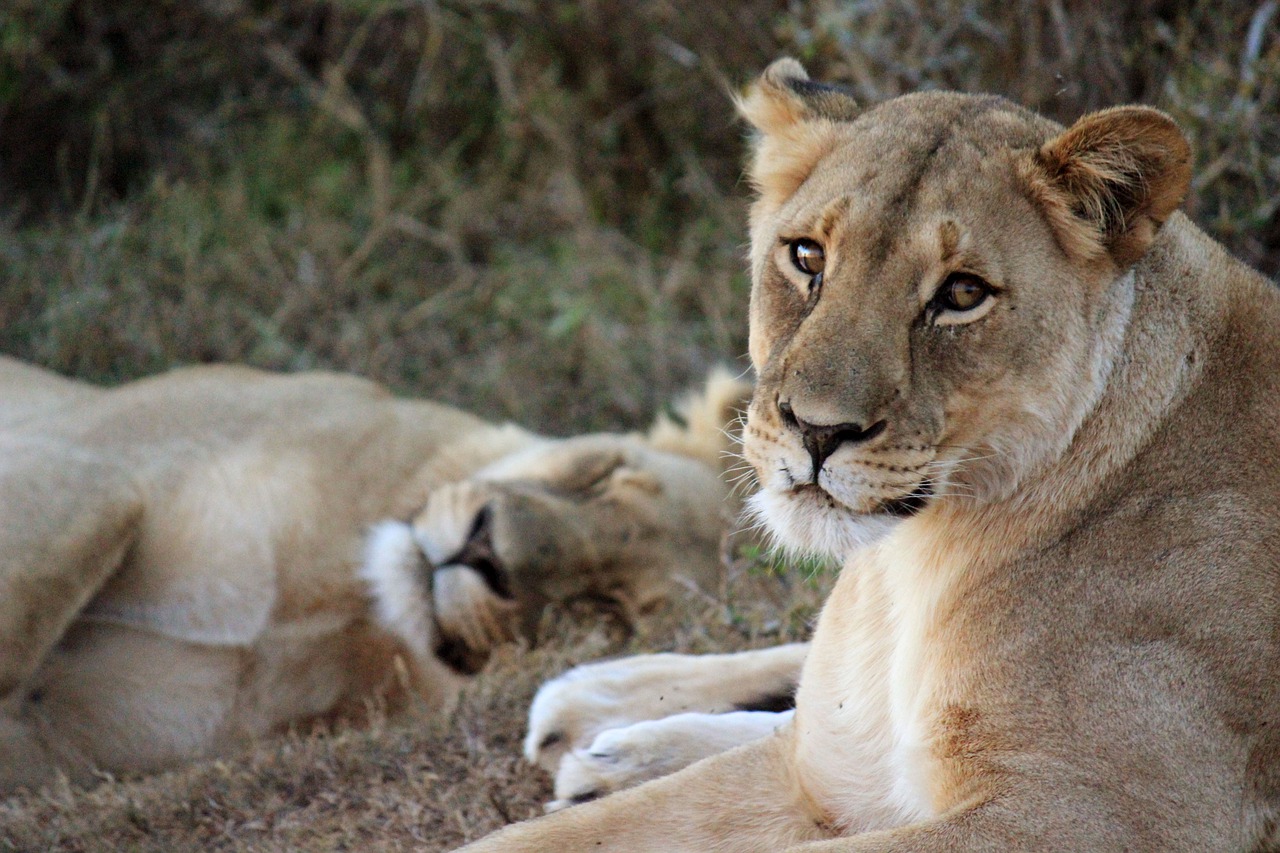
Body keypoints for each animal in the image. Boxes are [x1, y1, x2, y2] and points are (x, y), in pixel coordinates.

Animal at [0, 357, 749, 794]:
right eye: (601, 475)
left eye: (606, 610)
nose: (483, 551)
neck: (341, 602)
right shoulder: (92, 466)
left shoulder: (56, 742)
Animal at [457, 58, 1280, 852]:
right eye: (806, 255)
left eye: (963, 293)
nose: (817, 430)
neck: (913, 566)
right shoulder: (821, 775)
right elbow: (535, 839)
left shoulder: (1100, 817)